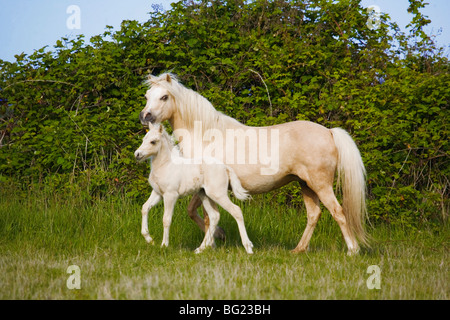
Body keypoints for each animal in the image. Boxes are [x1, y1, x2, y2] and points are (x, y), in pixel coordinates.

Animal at [134, 124, 253, 254]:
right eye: (143, 139)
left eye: (153, 141)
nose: (137, 154)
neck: (166, 165)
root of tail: (225, 167)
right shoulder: (157, 193)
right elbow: (145, 208)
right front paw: (149, 239)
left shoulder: (170, 195)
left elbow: (166, 219)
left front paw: (164, 245)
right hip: (205, 195)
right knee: (214, 216)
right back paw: (200, 249)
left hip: (218, 194)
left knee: (236, 211)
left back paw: (248, 247)